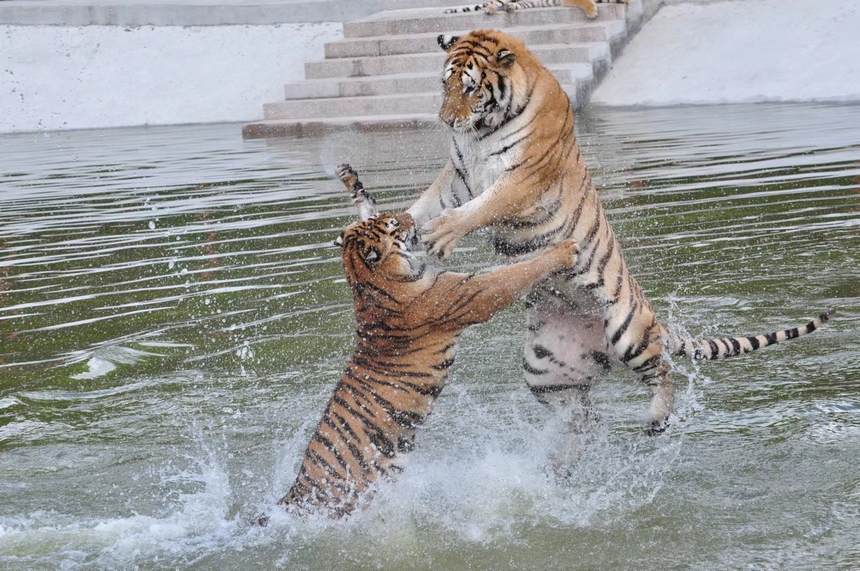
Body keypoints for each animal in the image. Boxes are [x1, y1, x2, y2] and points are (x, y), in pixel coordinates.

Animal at [255, 164, 576, 524]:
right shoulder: (473, 293)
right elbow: (514, 273)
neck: (364, 282)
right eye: (395, 225)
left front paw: (353, 182)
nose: (413, 219)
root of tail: (291, 497)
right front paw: (566, 249)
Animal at [404, 30, 832, 434]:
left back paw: (657, 420)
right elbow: (428, 201)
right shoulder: (460, 174)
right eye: (445, 85)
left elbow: (480, 208)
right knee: (581, 416)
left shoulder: (522, 178)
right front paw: (401, 225)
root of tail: (656, 320)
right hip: (543, 369)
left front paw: (440, 235)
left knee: (663, 371)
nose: (446, 120)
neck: (480, 133)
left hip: (629, 333)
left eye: (470, 88)